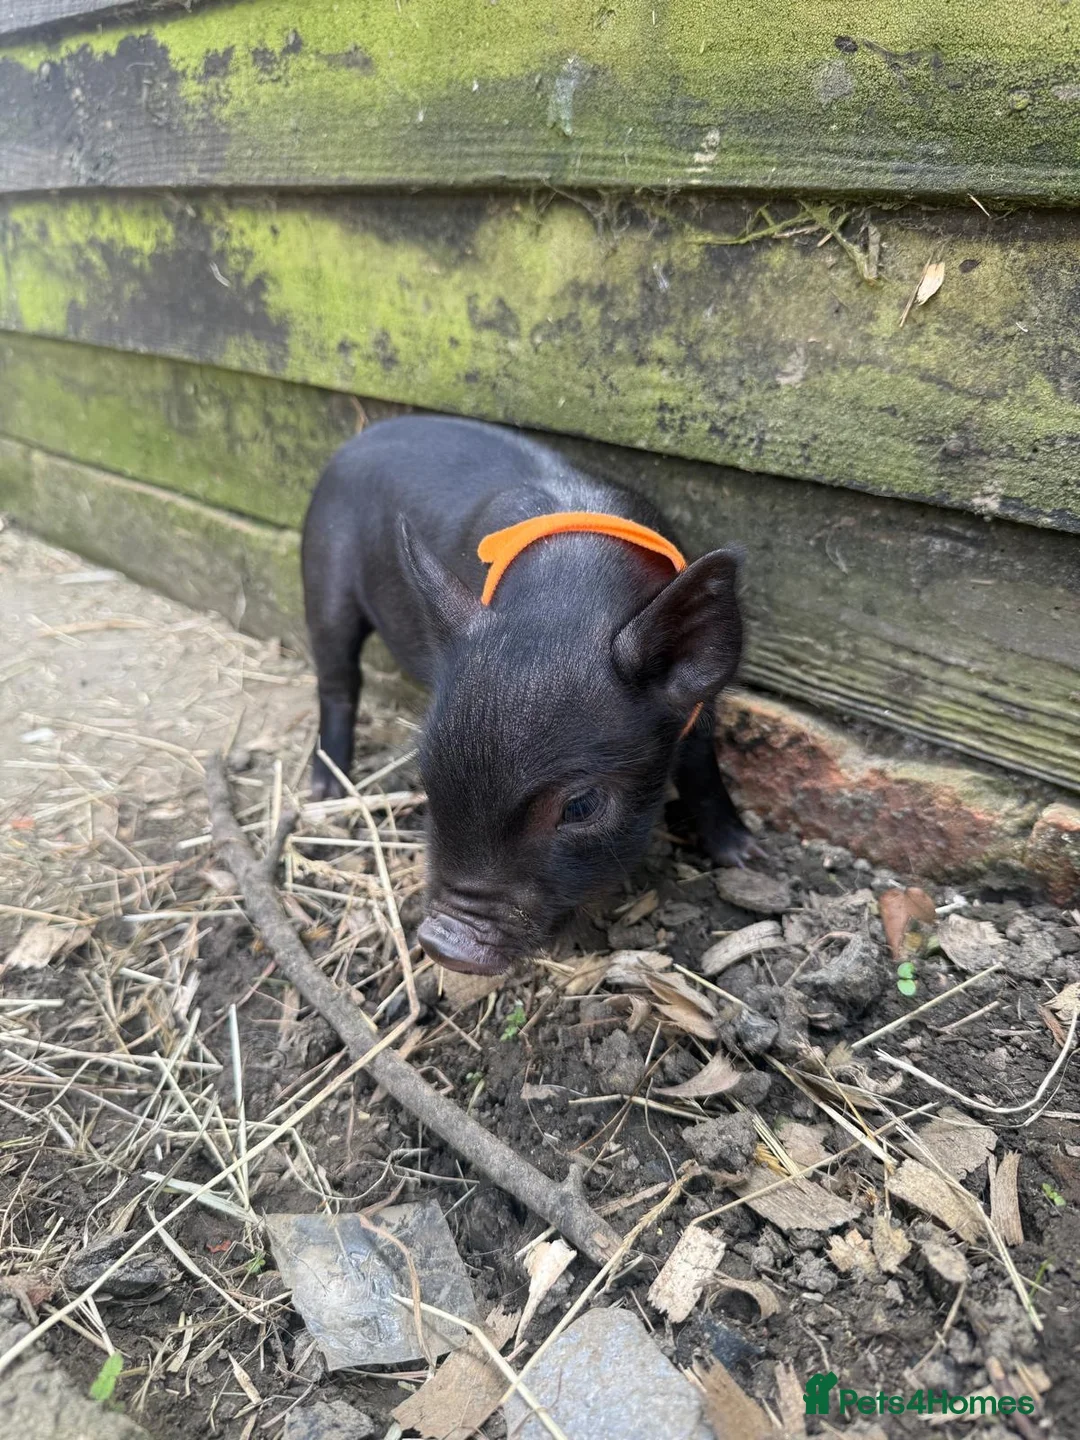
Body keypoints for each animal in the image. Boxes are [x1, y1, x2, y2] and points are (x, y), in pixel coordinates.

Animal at [301, 415, 751, 975]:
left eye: (581, 806)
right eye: (426, 780)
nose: (443, 944)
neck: (567, 603)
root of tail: (359, 437)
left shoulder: (699, 707)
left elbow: (702, 770)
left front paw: (744, 856)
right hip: (322, 574)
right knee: (336, 680)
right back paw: (324, 791)